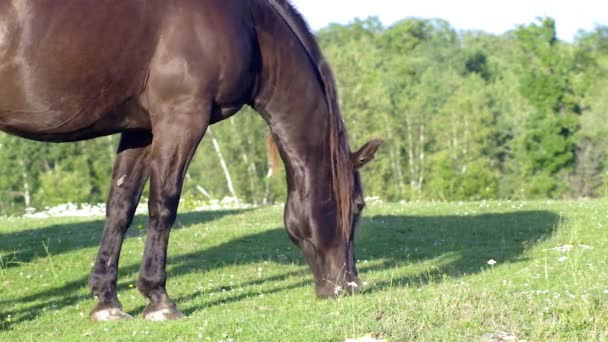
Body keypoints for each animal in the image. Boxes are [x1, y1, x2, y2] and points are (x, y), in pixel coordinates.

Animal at [0, 0, 380, 320]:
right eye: (358, 205)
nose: (349, 286)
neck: (248, 24)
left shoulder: (141, 129)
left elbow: (121, 207)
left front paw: (107, 301)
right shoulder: (181, 119)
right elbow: (163, 205)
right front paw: (159, 299)